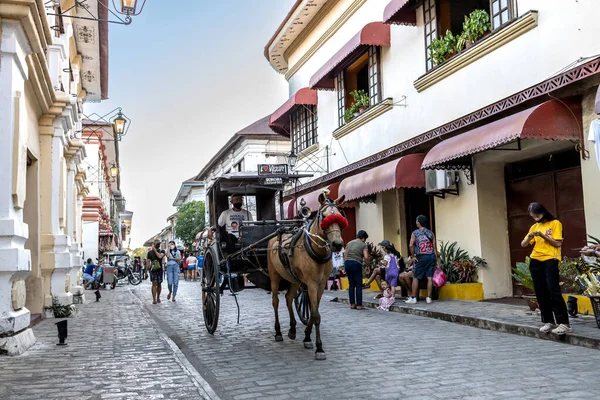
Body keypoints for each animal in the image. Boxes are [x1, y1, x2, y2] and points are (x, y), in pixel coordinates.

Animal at [268, 192, 346, 360]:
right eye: (324, 217)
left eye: (340, 216)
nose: (337, 244)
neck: (316, 250)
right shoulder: (310, 283)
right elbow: (315, 314)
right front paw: (319, 347)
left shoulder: (321, 284)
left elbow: (313, 313)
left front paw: (307, 337)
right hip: (274, 276)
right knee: (276, 302)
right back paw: (278, 332)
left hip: (294, 280)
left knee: (289, 298)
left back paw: (292, 329)